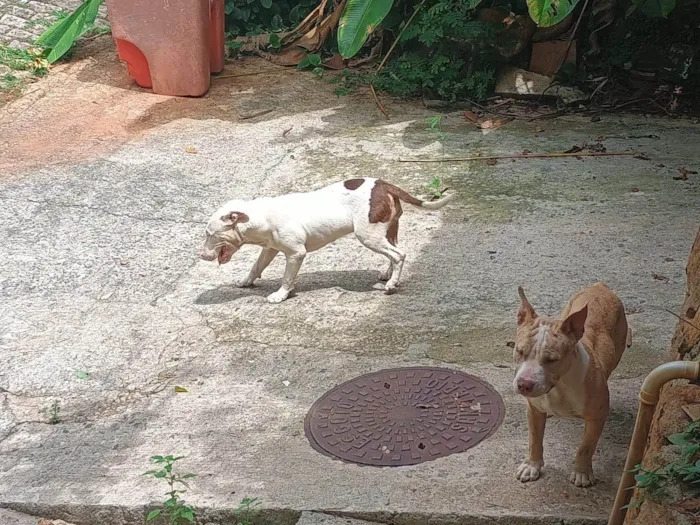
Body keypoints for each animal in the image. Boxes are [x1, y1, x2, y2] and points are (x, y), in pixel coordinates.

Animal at [200, 177, 456, 302]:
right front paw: (246, 282)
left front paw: (280, 295)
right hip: (386, 231)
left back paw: (392, 284)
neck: (261, 217)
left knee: (399, 254)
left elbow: (287, 277)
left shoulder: (296, 253)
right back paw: (388, 275)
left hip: (368, 235)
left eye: (209, 234)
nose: (200, 255)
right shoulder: (270, 249)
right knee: (393, 253)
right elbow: (256, 266)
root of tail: (384, 185)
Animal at [512, 282, 632, 488]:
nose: (524, 385)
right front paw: (532, 465)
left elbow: (586, 446)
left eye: (552, 359)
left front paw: (582, 472)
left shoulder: (597, 416)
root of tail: (600, 286)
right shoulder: (533, 410)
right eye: (519, 351)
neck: (559, 387)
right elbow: (534, 439)